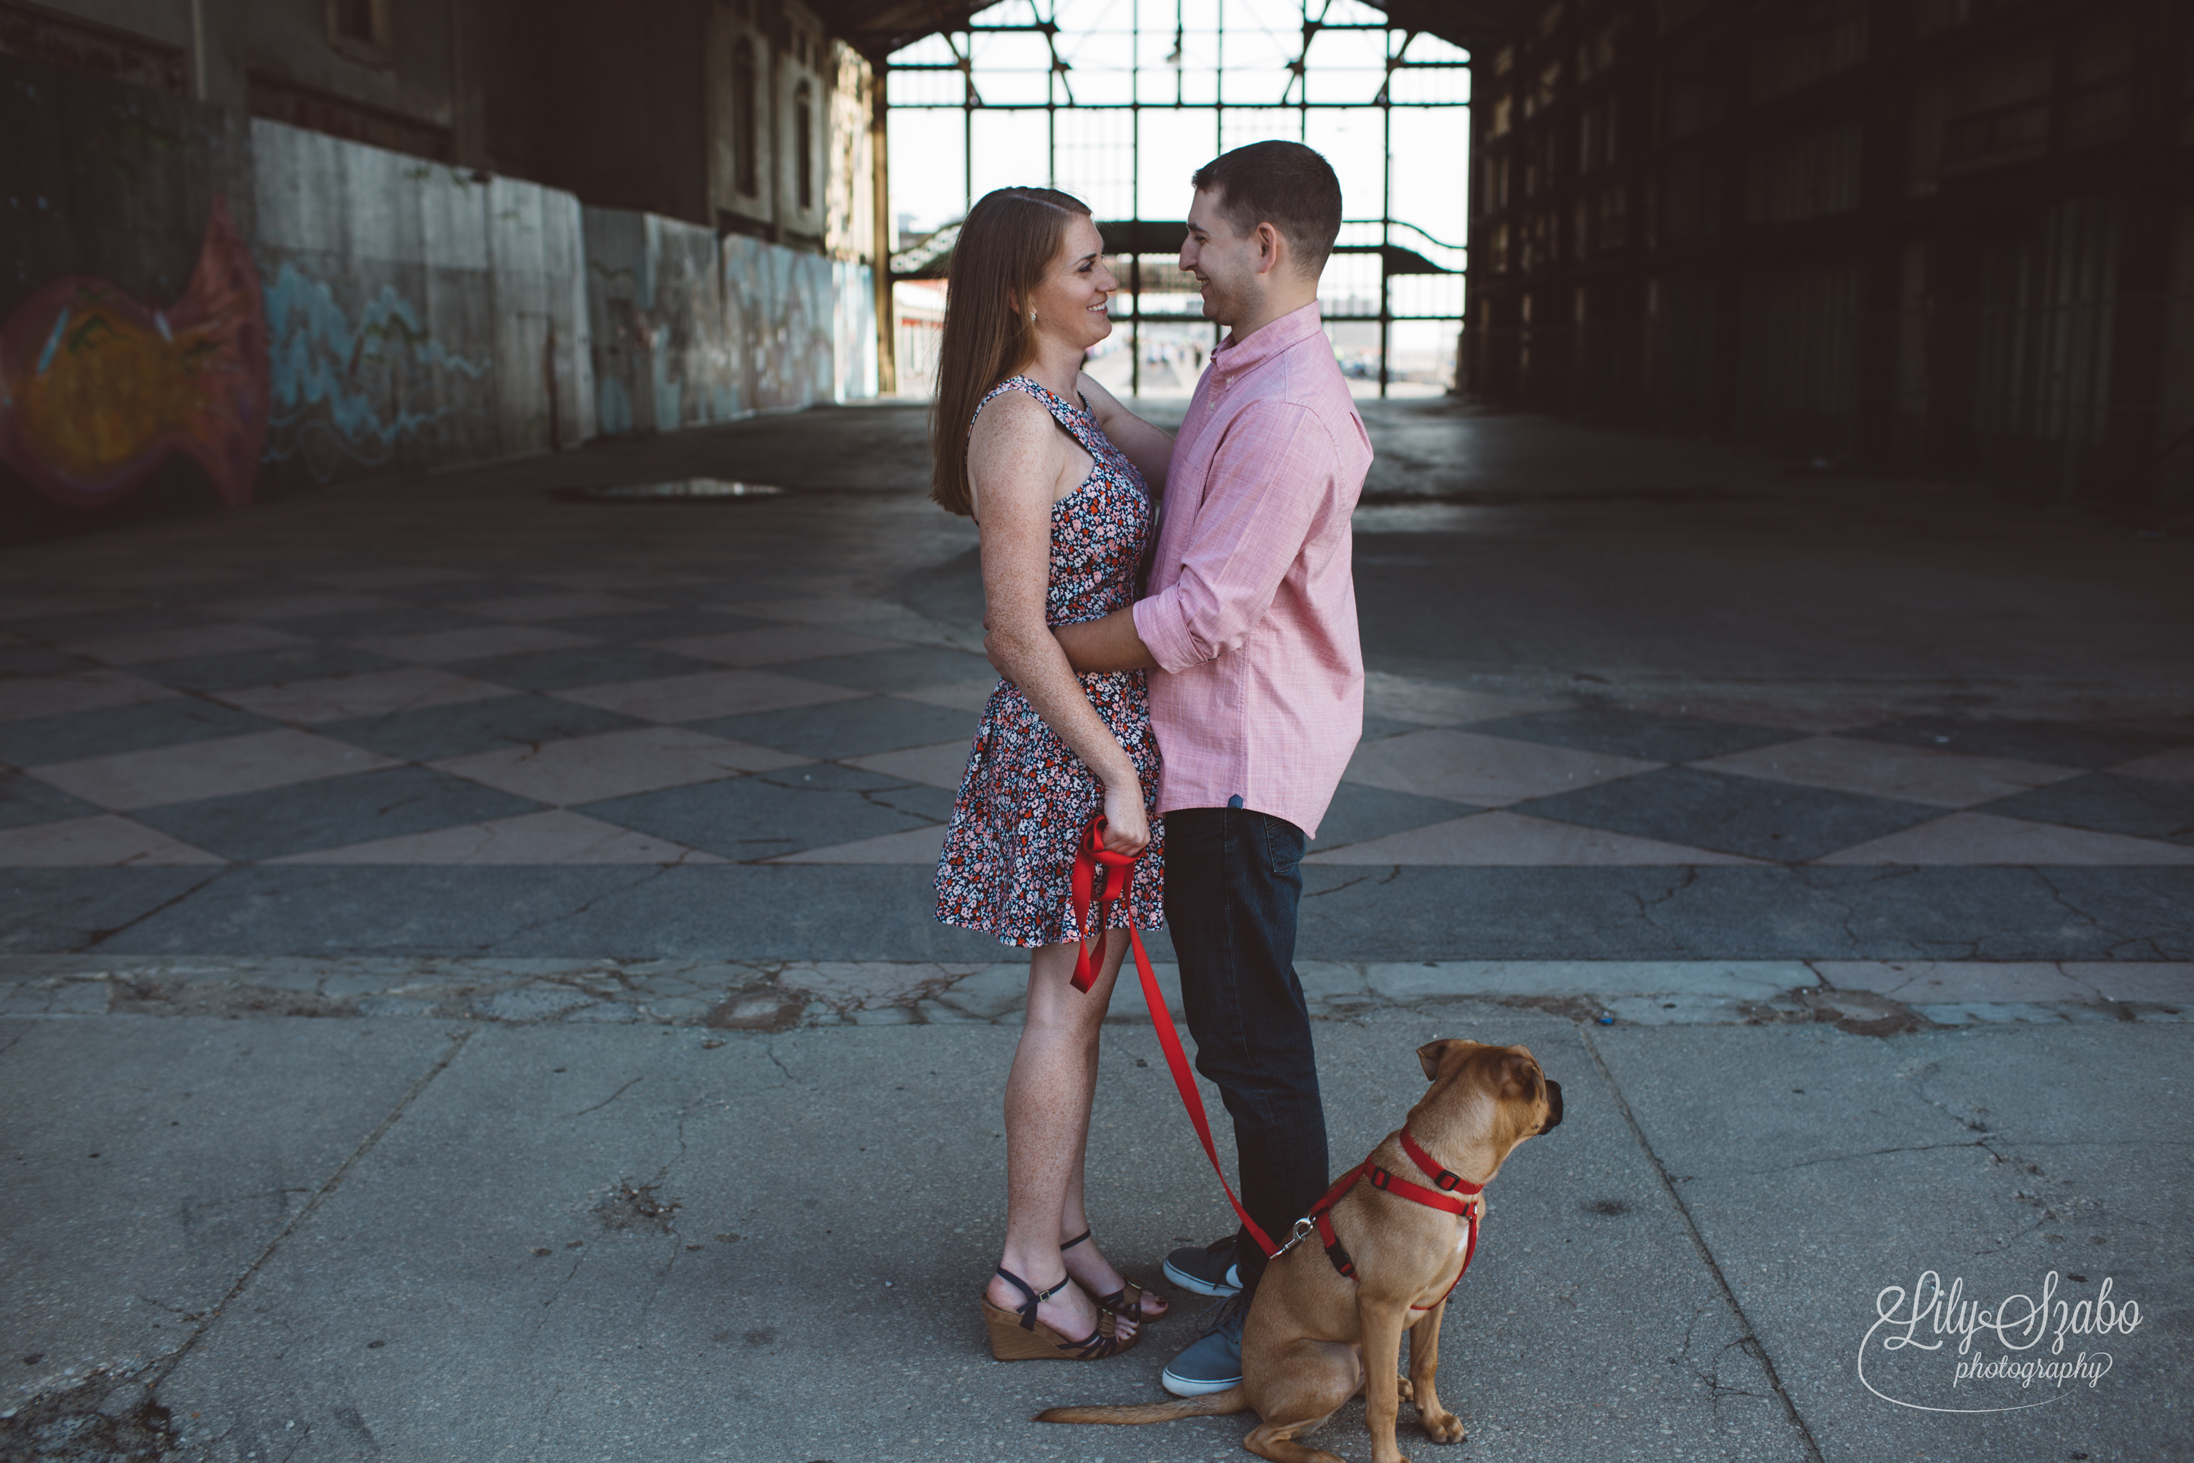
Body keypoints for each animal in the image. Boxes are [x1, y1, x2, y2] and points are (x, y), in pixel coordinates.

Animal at [1031, 1039, 1562, 1463]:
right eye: (1539, 1080)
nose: (1560, 1087)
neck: (1441, 1173)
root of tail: (1247, 1384)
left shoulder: (1435, 1300)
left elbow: (1424, 1364)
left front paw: (1433, 1420)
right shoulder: (1383, 1307)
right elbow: (1383, 1408)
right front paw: (1390, 1456)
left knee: (1373, 1380)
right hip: (1334, 1361)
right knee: (1263, 1436)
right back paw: (1320, 1456)